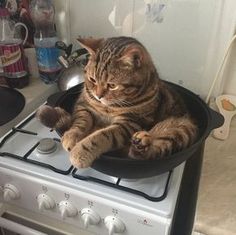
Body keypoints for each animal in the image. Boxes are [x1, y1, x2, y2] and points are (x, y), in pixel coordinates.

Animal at [36, 36, 198, 169]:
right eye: (93, 79)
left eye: (112, 85)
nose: (98, 96)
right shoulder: (84, 106)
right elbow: (80, 122)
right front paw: (71, 136)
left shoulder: (129, 123)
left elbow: (100, 137)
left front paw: (80, 152)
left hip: (183, 129)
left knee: (147, 154)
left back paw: (140, 145)